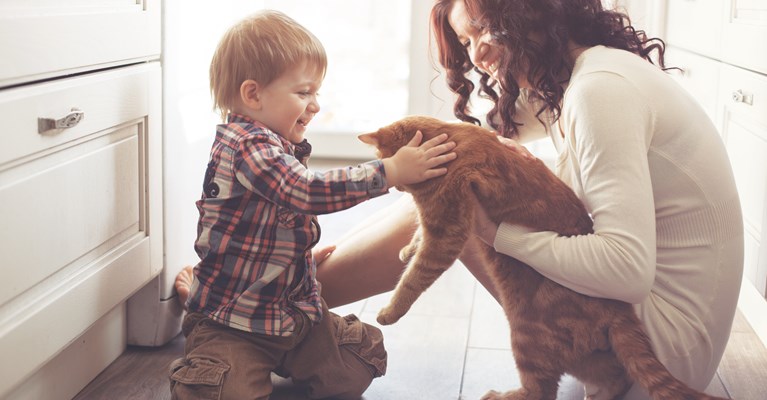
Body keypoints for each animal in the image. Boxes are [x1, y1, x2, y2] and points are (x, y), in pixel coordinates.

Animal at [358, 115, 728, 400]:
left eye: (386, 162)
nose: (394, 187)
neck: (447, 140)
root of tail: (620, 309)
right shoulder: (438, 224)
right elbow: (416, 241)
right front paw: (408, 248)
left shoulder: (447, 232)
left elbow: (413, 278)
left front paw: (390, 311)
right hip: (585, 354)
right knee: (615, 377)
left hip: (526, 337)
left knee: (540, 391)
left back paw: (500, 396)